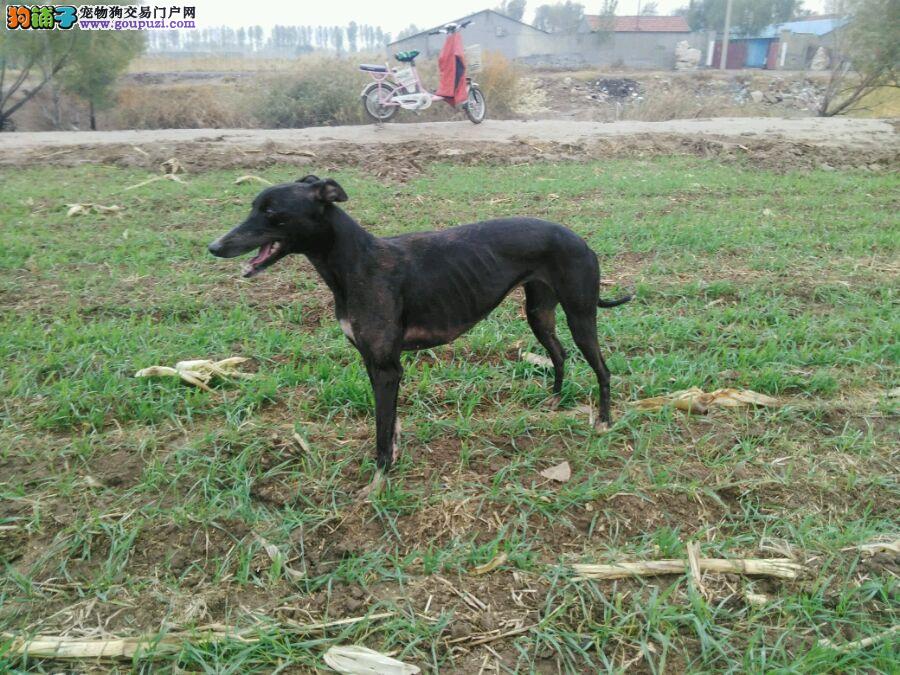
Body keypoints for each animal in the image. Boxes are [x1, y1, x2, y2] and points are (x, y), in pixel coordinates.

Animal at [209, 177, 632, 494]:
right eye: (253, 206)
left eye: (272, 213)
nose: (214, 246)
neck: (355, 261)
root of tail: (579, 239)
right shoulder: (375, 361)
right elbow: (391, 425)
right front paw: (392, 462)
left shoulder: (386, 368)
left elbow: (381, 432)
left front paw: (377, 484)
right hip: (539, 313)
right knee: (559, 353)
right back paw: (555, 401)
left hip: (580, 315)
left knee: (603, 369)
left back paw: (603, 422)